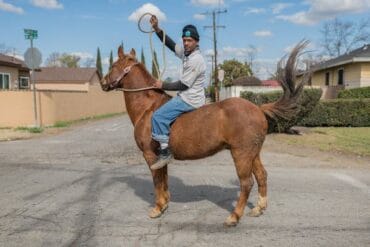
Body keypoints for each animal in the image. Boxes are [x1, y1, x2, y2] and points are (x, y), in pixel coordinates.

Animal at [100, 41, 310, 227]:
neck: (148, 108)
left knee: (246, 183)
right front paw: (165, 203)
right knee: (262, 176)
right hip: (253, 153)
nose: (102, 83)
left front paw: (157, 208)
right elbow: (164, 179)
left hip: (241, 154)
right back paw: (258, 208)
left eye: (113, 65)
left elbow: (157, 180)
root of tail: (258, 108)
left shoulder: (150, 155)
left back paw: (234, 217)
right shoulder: (161, 156)